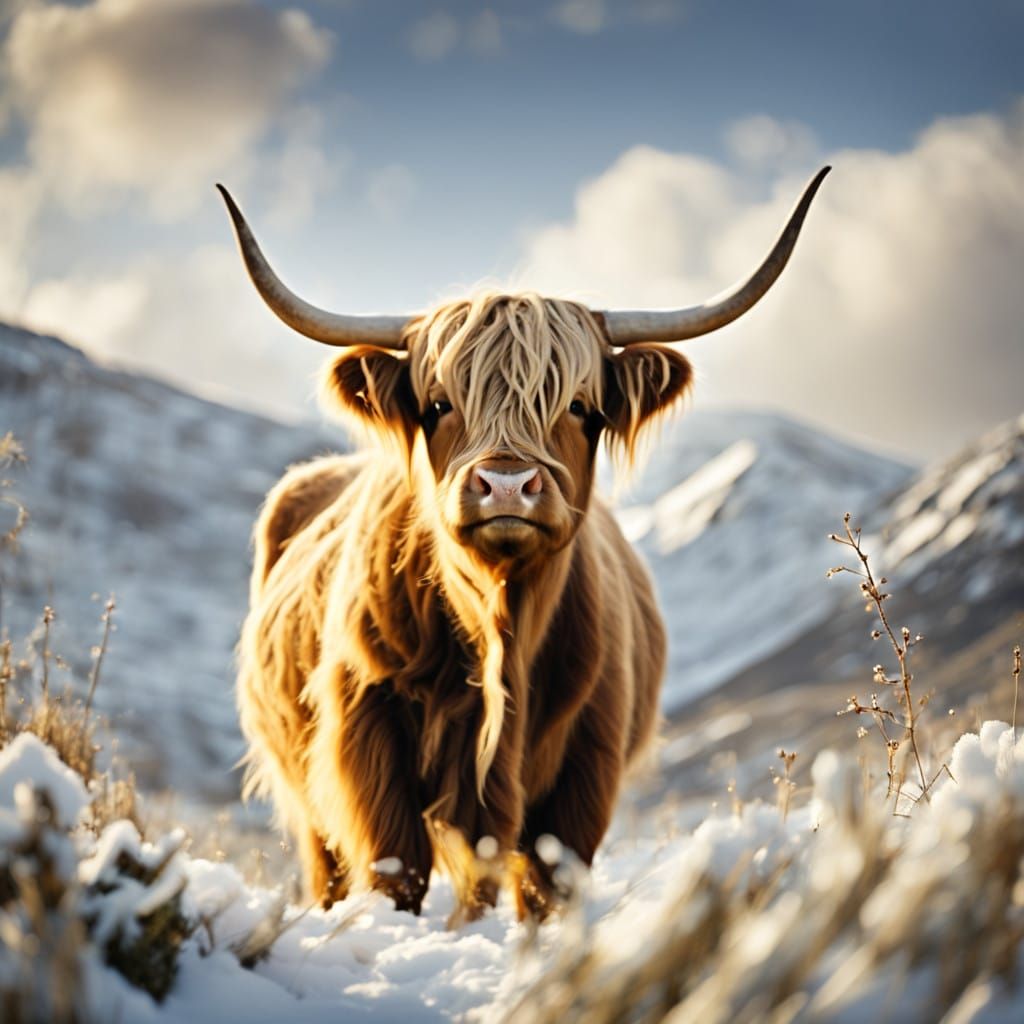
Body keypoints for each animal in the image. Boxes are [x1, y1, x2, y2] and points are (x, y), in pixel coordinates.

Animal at [220, 167, 829, 918]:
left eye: (578, 405)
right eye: (439, 404)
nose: (506, 485)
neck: (500, 622)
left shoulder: (584, 770)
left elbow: (545, 887)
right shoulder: (365, 740)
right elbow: (398, 872)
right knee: (328, 870)